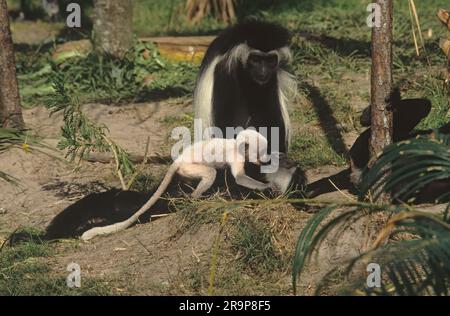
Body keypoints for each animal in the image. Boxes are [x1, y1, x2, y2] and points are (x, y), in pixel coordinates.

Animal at [80, 128, 270, 239]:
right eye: (260, 152)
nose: (266, 159)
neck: (236, 145)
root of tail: (179, 159)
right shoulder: (236, 157)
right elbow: (239, 178)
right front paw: (266, 187)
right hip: (189, 167)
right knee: (210, 173)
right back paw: (196, 198)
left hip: (185, 172)